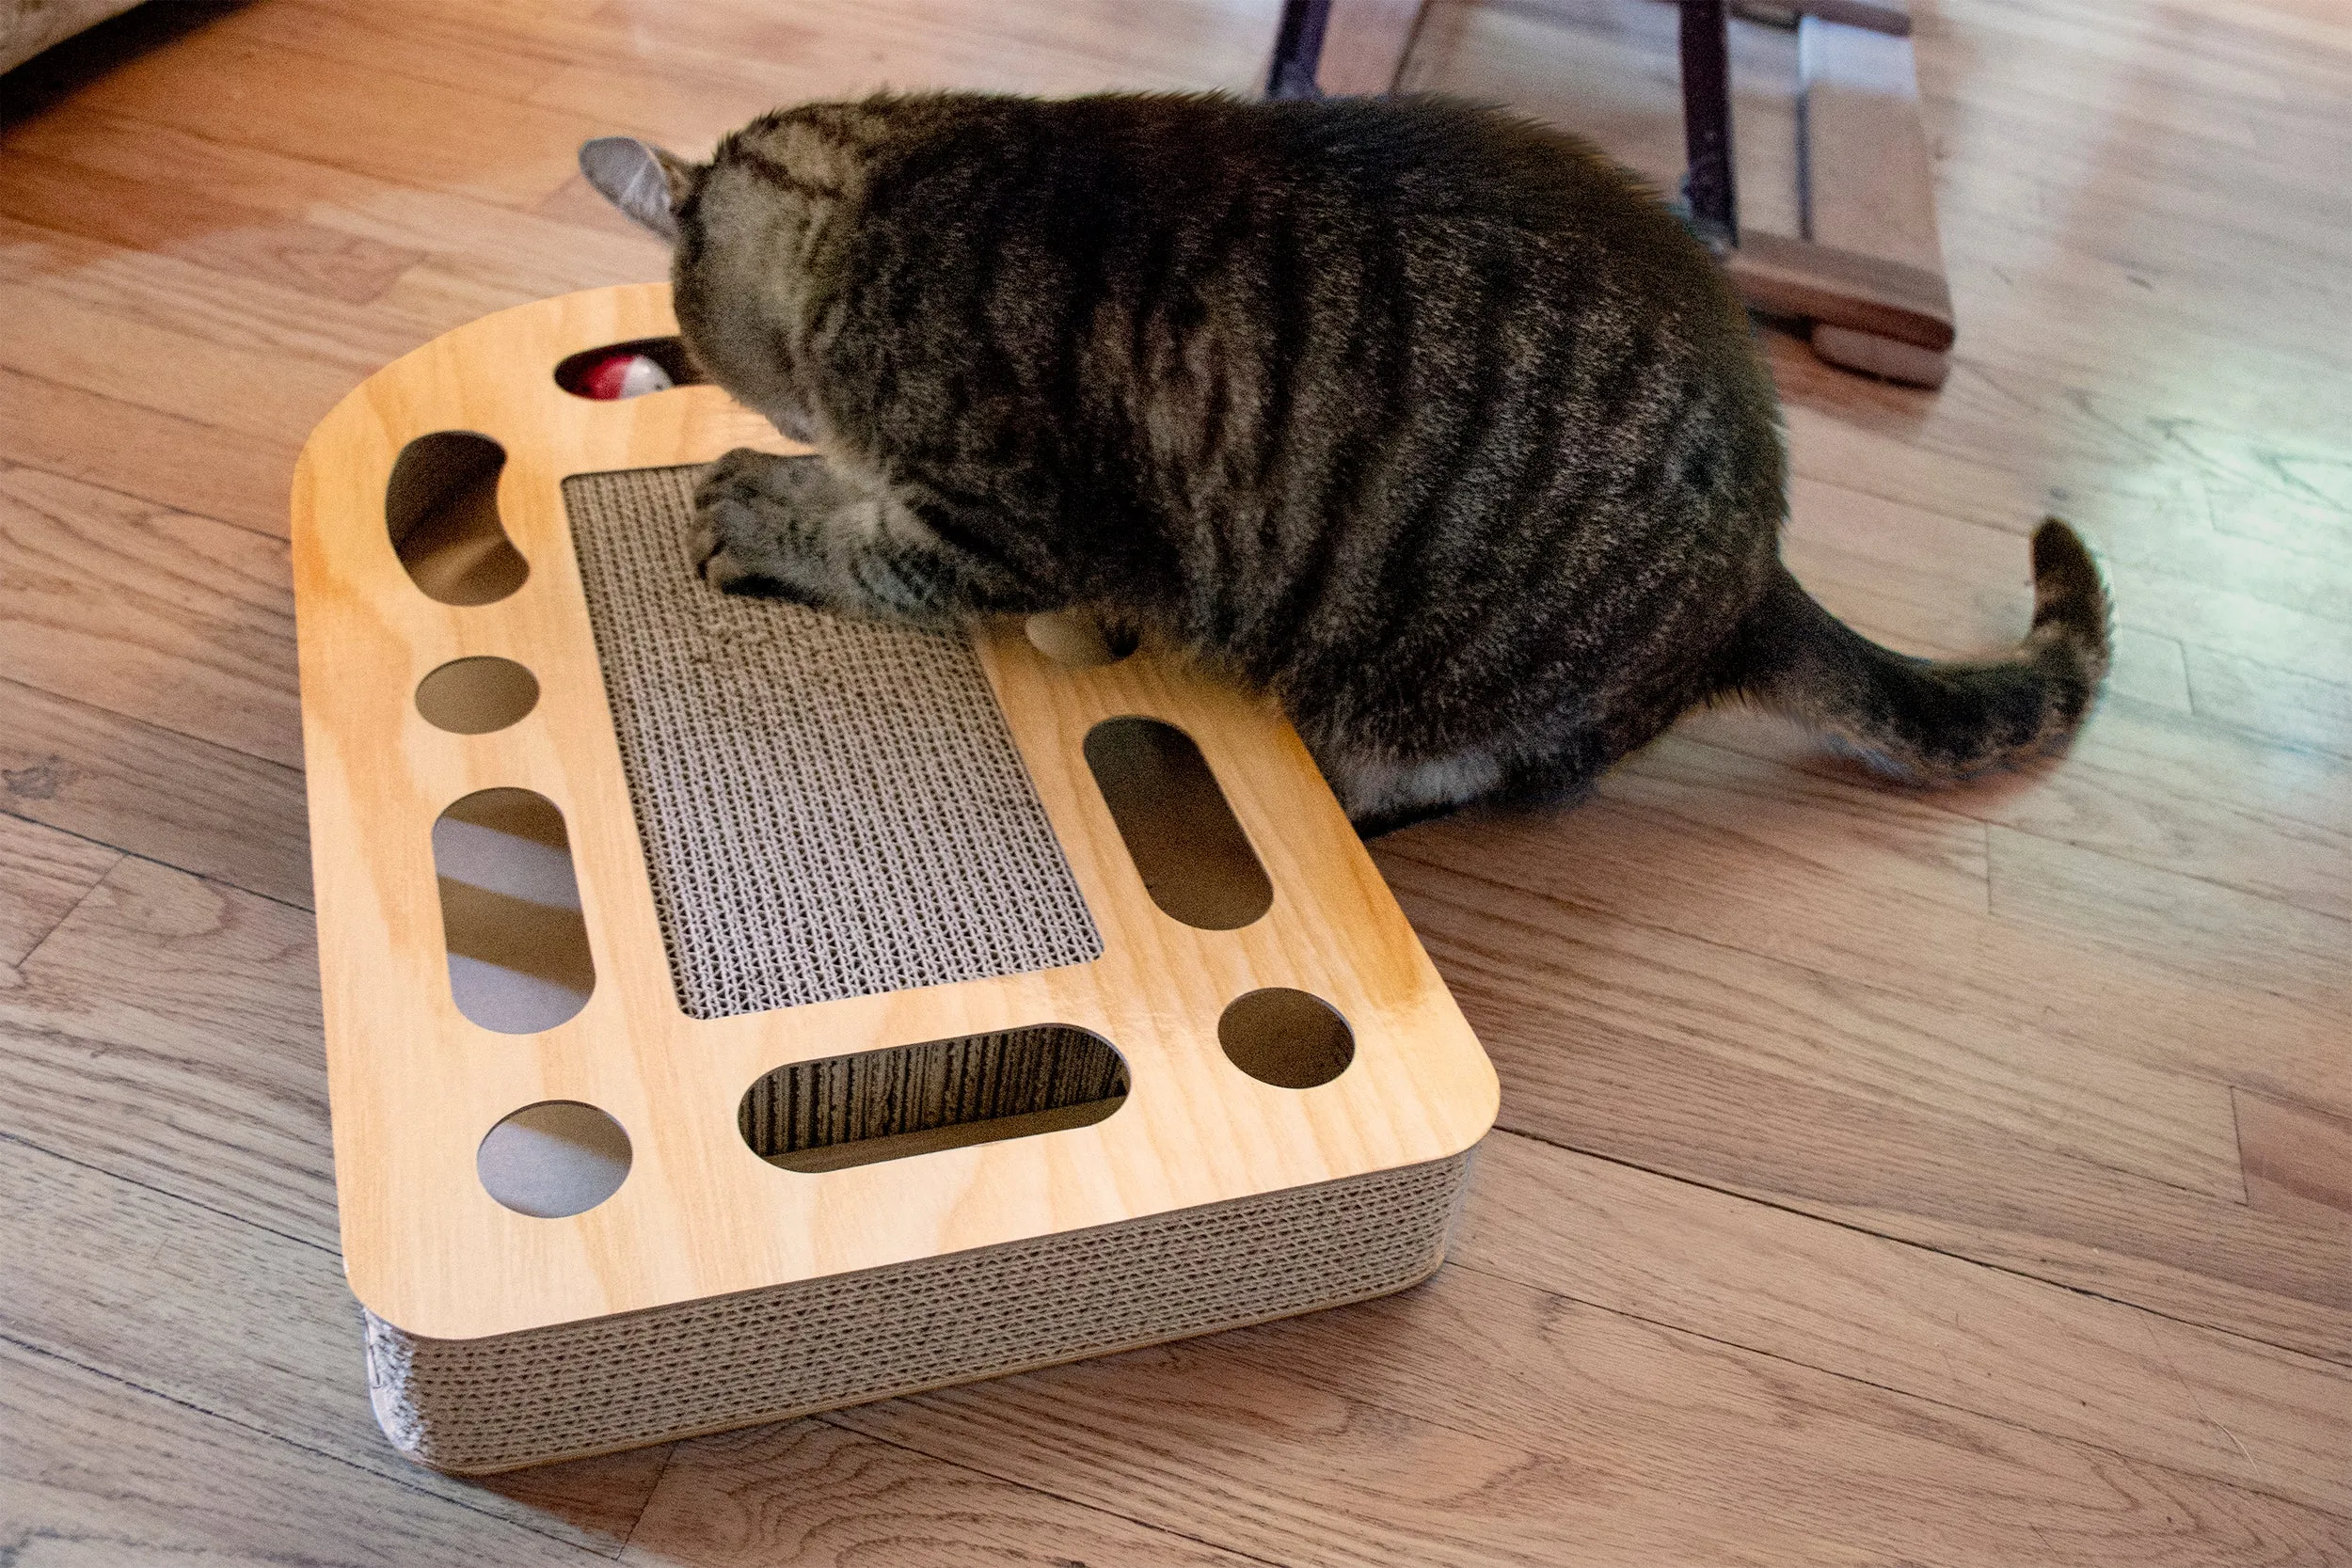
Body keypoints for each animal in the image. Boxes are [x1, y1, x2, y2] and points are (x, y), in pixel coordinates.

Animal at [574, 88, 2117, 832]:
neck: (887, 193)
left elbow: (869, 542)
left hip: (1441, 687)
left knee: (1486, 779)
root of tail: (1760, 576)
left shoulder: (1007, 526)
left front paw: (764, 500)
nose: (773, 417)